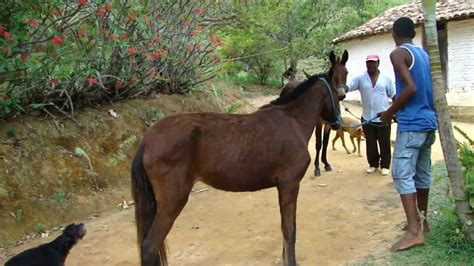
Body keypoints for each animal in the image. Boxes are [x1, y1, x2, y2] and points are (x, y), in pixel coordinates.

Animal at [131, 50, 346, 266]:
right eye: (337, 95)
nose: (337, 123)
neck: (292, 121)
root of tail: (148, 138)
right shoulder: (289, 184)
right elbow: (289, 230)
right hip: (172, 202)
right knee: (149, 247)